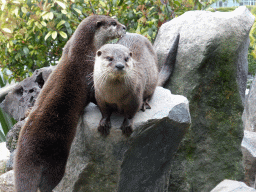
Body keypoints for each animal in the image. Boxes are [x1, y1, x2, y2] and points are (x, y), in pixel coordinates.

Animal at [14, 15, 126, 192]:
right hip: (55, 161)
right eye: (113, 23)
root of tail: (27, 153)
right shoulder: (90, 73)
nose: (124, 27)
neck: (82, 51)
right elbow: (97, 97)